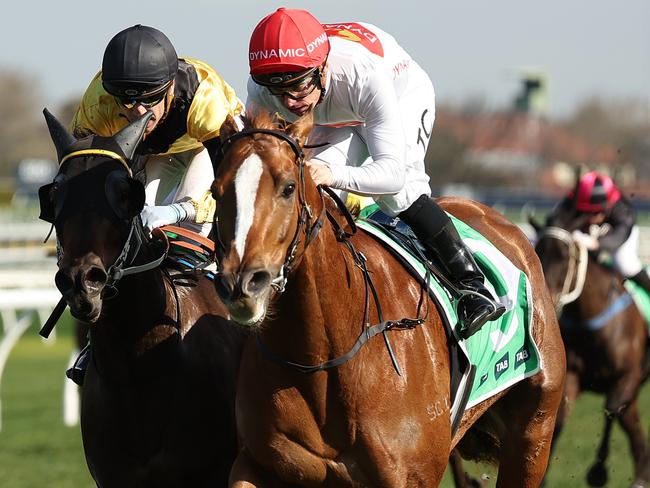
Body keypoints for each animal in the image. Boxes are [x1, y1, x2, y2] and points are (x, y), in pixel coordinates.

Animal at [210, 111, 564, 488]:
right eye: (216, 192)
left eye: (288, 187)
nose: (242, 284)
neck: (323, 358)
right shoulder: (257, 463)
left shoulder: (411, 476)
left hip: (533, 433)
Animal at [532, 211, 648, 488]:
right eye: (537, 251)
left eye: (564, 256)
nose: (544, 299)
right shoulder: (573, 376)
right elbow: (560, 418)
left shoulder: (627, 375)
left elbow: (612, 408)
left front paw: (598, 471)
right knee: (632, 422)